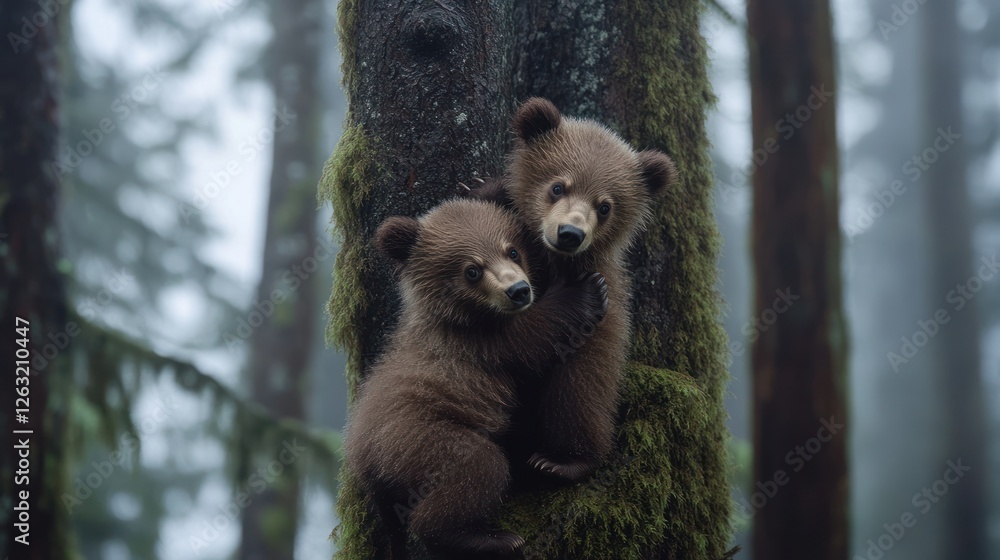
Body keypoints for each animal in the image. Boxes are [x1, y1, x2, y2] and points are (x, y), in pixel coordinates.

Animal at [342, 198, 609, 558]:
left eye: (512, 251)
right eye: (472, 270)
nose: (519, 290)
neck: (463, 314)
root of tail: (363, 460)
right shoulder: (480, 343)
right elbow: (536, 333)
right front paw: (588, 289)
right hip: (419, 439)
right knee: (477, 469)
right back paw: (489, 539)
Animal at [469, 98, 676, 482]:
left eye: (605, 206)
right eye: (557, 187)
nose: (569, 233)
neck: (552, 260)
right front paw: (478, 186)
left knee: (578, 396)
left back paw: (560, 461)